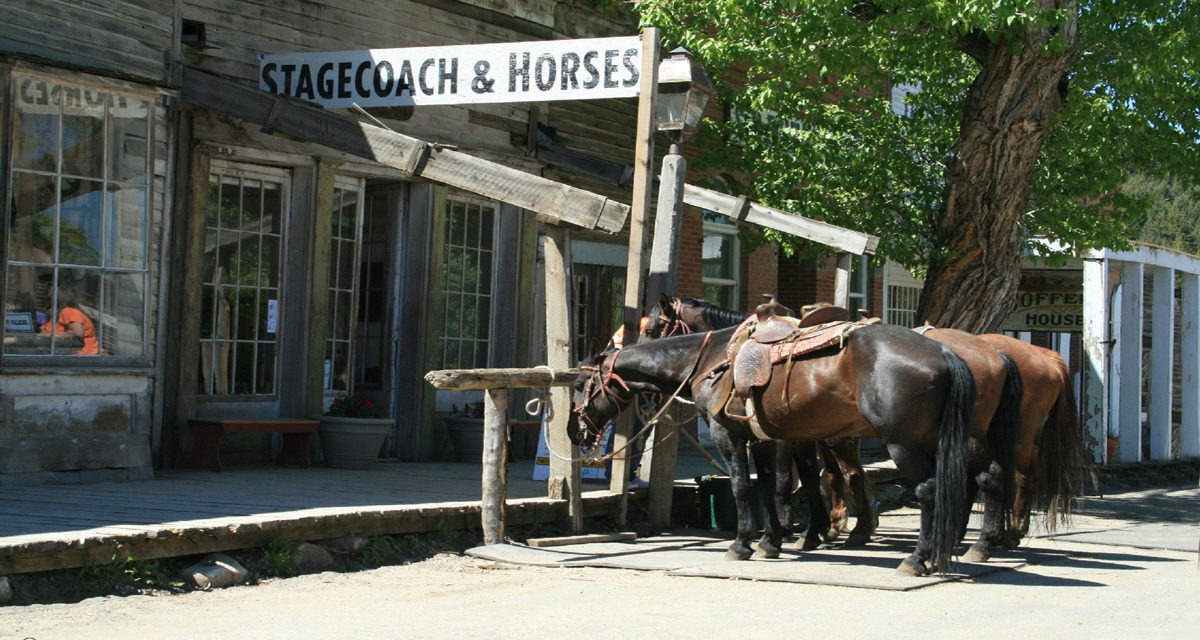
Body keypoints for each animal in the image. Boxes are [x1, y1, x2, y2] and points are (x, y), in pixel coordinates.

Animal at [568, 319, 974, 573]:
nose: (574, 432)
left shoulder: (727, 435)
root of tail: (944, 353)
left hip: (903, 444)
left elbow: (741, 487)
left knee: (928, 491)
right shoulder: (761, 440)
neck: (712, 360)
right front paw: (771, 541)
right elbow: (766, 486)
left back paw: (917, 559)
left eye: (580, 385)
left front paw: (742, 543)